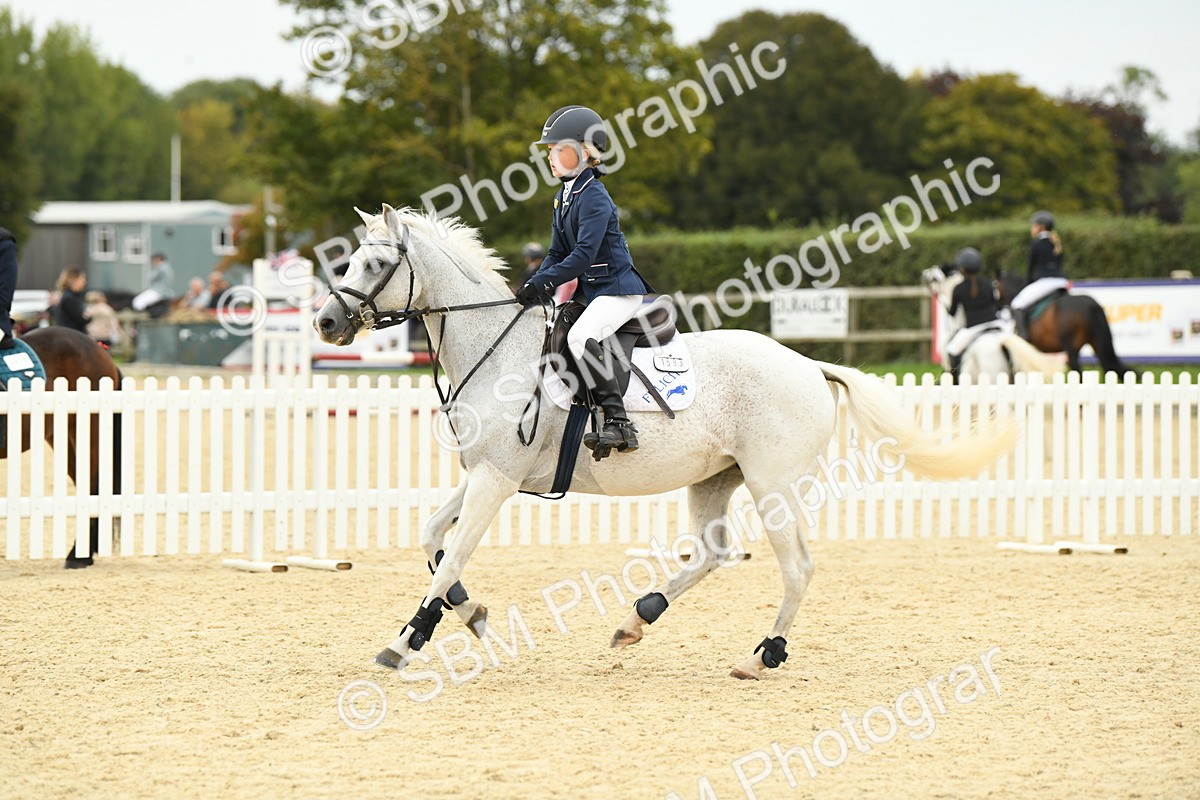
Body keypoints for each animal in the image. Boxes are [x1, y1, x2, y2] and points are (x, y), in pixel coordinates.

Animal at [314, 205, 1020, 680]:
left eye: (376, 264)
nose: (326, 321)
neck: (496, 349)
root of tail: (809, 365)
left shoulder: (497, 479)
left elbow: (451, 555)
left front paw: (406, 642)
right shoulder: (487, 472)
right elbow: (433, 537)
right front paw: (472, 614)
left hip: (773, 484)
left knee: (796, 566)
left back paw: (763, 655)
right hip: (714, 480)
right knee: (714, 552)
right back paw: (637, 619)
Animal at [995, 271, 1134, 376]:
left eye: (994, 286)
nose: (997, 309)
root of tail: (1091, 305)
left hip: (1071, 348)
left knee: (1078, 372)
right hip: (1096, 343)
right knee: (1109, 367)